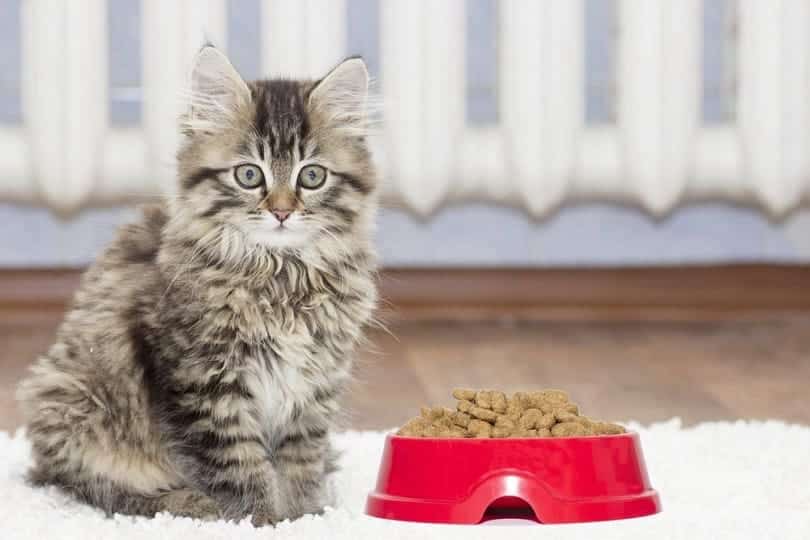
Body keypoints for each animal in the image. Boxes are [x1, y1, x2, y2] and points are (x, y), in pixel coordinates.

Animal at [15, 48, 376, 524]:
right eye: (249, 175)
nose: (281, 212)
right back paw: (185, 503)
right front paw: (262, 521)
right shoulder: (204, 383)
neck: (281, 275)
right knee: (96, 487)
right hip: (69, 401)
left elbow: (301, 463)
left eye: (312, 176)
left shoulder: (314, 385)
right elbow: (239, 467)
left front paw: (307, 517)